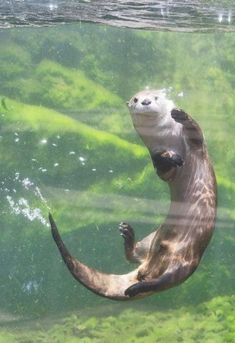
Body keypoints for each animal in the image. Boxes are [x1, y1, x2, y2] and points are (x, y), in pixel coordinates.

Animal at [48, 89, 218, 300]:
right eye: (136, 99)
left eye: (155, 97)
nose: (145, 102)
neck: (167, 138)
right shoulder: (156, 152)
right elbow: (163, 169)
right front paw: (170, 158)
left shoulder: (196, 146)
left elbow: (197, 133)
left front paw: (180, 114)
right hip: (152, 241)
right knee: (140, 262)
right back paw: (128, 239)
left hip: (185, 258)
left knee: (166, 279)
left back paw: (135, 287)